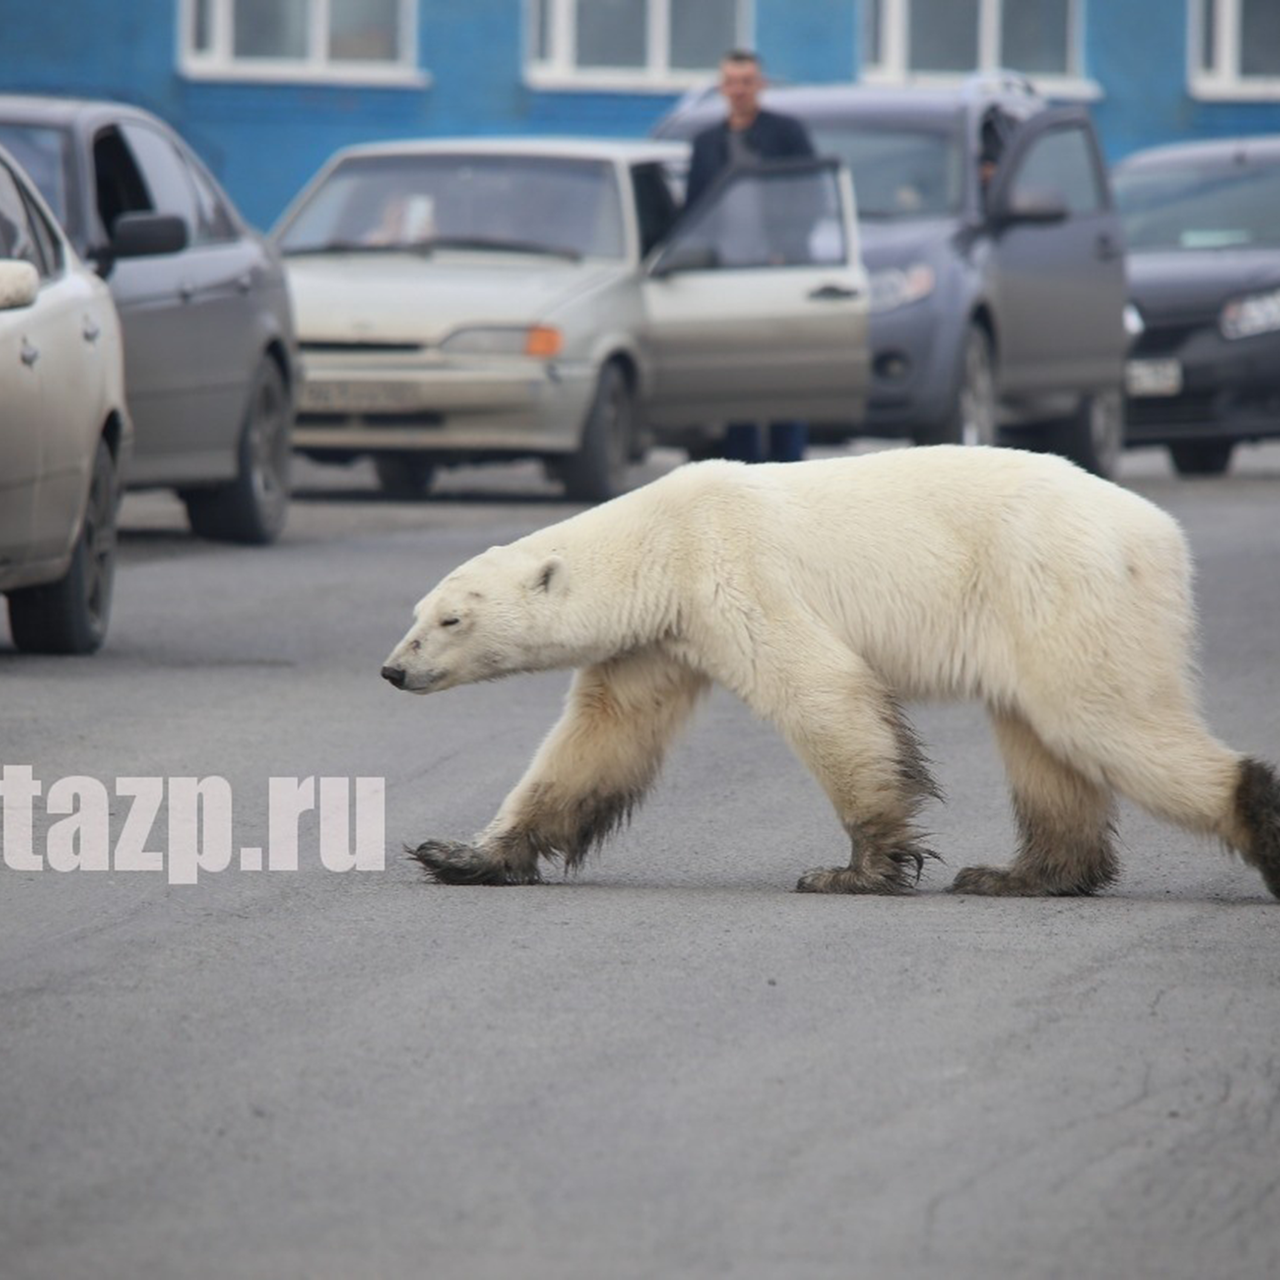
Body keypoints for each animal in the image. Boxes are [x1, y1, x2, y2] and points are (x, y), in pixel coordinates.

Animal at [378, 450, 1280, 901]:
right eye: (417, 611)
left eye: (450, 619)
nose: (392, 669)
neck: (661, 538)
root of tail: (1160, 532)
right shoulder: (658, 640)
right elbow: (599, 739)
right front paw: (461, 854)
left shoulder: (734, 570)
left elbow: (823, 693)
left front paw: (855, 870)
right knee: (1043, 741)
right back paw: (1019, 875)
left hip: (1059, 584)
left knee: (1102, 718)